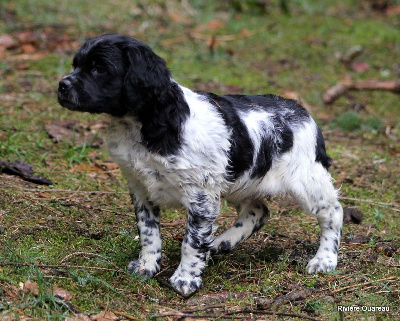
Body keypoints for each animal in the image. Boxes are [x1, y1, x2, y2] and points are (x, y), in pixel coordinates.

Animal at [58, 34, 344, 296]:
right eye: (76, 65)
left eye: (99, 69)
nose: (61, 85)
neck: (146, 125)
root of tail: (302, 111)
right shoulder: (140, 187)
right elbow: (148, 232)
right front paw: (146, 266)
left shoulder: (200, 197)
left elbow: (192, 242)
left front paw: (185, 279)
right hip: (235, 180)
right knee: (258, 211)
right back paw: (221, 243)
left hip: (304, 180)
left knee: (333, 211)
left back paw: (324, 260)